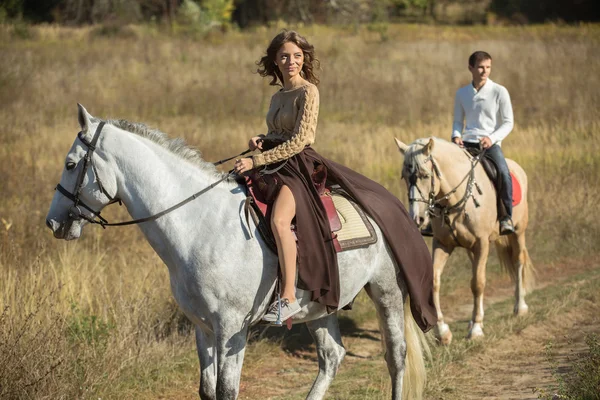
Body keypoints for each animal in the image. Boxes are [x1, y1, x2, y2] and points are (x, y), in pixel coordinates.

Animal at [48, 104, 432, 400]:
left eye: (70, 164)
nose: (53, 222)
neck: (199, 225)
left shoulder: (232, 328)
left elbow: (227, 391)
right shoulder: (202, 327)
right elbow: (207, 391)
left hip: (387, 292)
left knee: (396, 356)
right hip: (321, 303)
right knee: (332, 356)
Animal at [394, 137, 536, 344]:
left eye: (425, 175)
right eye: (404, 177)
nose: (416, 219)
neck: (456, 200)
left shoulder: (482, 243)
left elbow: (478, 283)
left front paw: (476, 330)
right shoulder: (442, 244)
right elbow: (435, 282)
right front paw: (443, 332)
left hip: (518, 232)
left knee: (518, 261)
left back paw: (520, 307)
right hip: (471, 248)